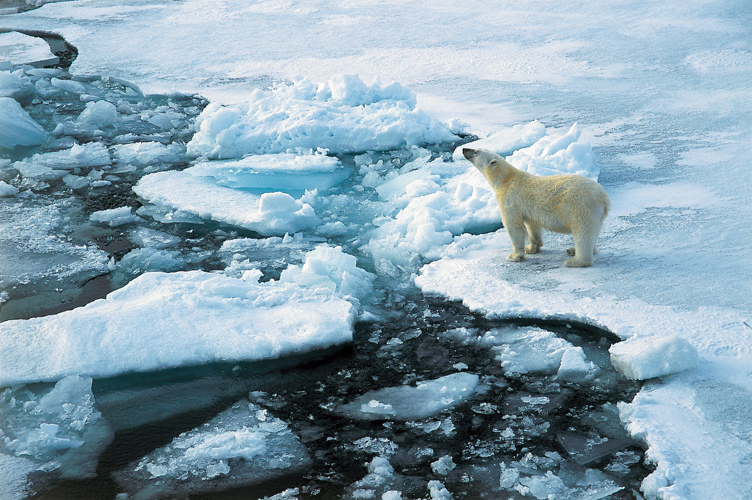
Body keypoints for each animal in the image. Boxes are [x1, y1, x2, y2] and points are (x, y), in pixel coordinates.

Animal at [464, 147, 612, 268]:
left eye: (476, 151)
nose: (464, 149)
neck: (506, 180)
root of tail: (603, 197)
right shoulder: (529, 209)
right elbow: (532, 226)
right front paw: (531, 248)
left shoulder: (510, 200)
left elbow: (514, 226)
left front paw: (514, 256)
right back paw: (574, 250)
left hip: (581, 208)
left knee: (583, 233)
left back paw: (574, 261)